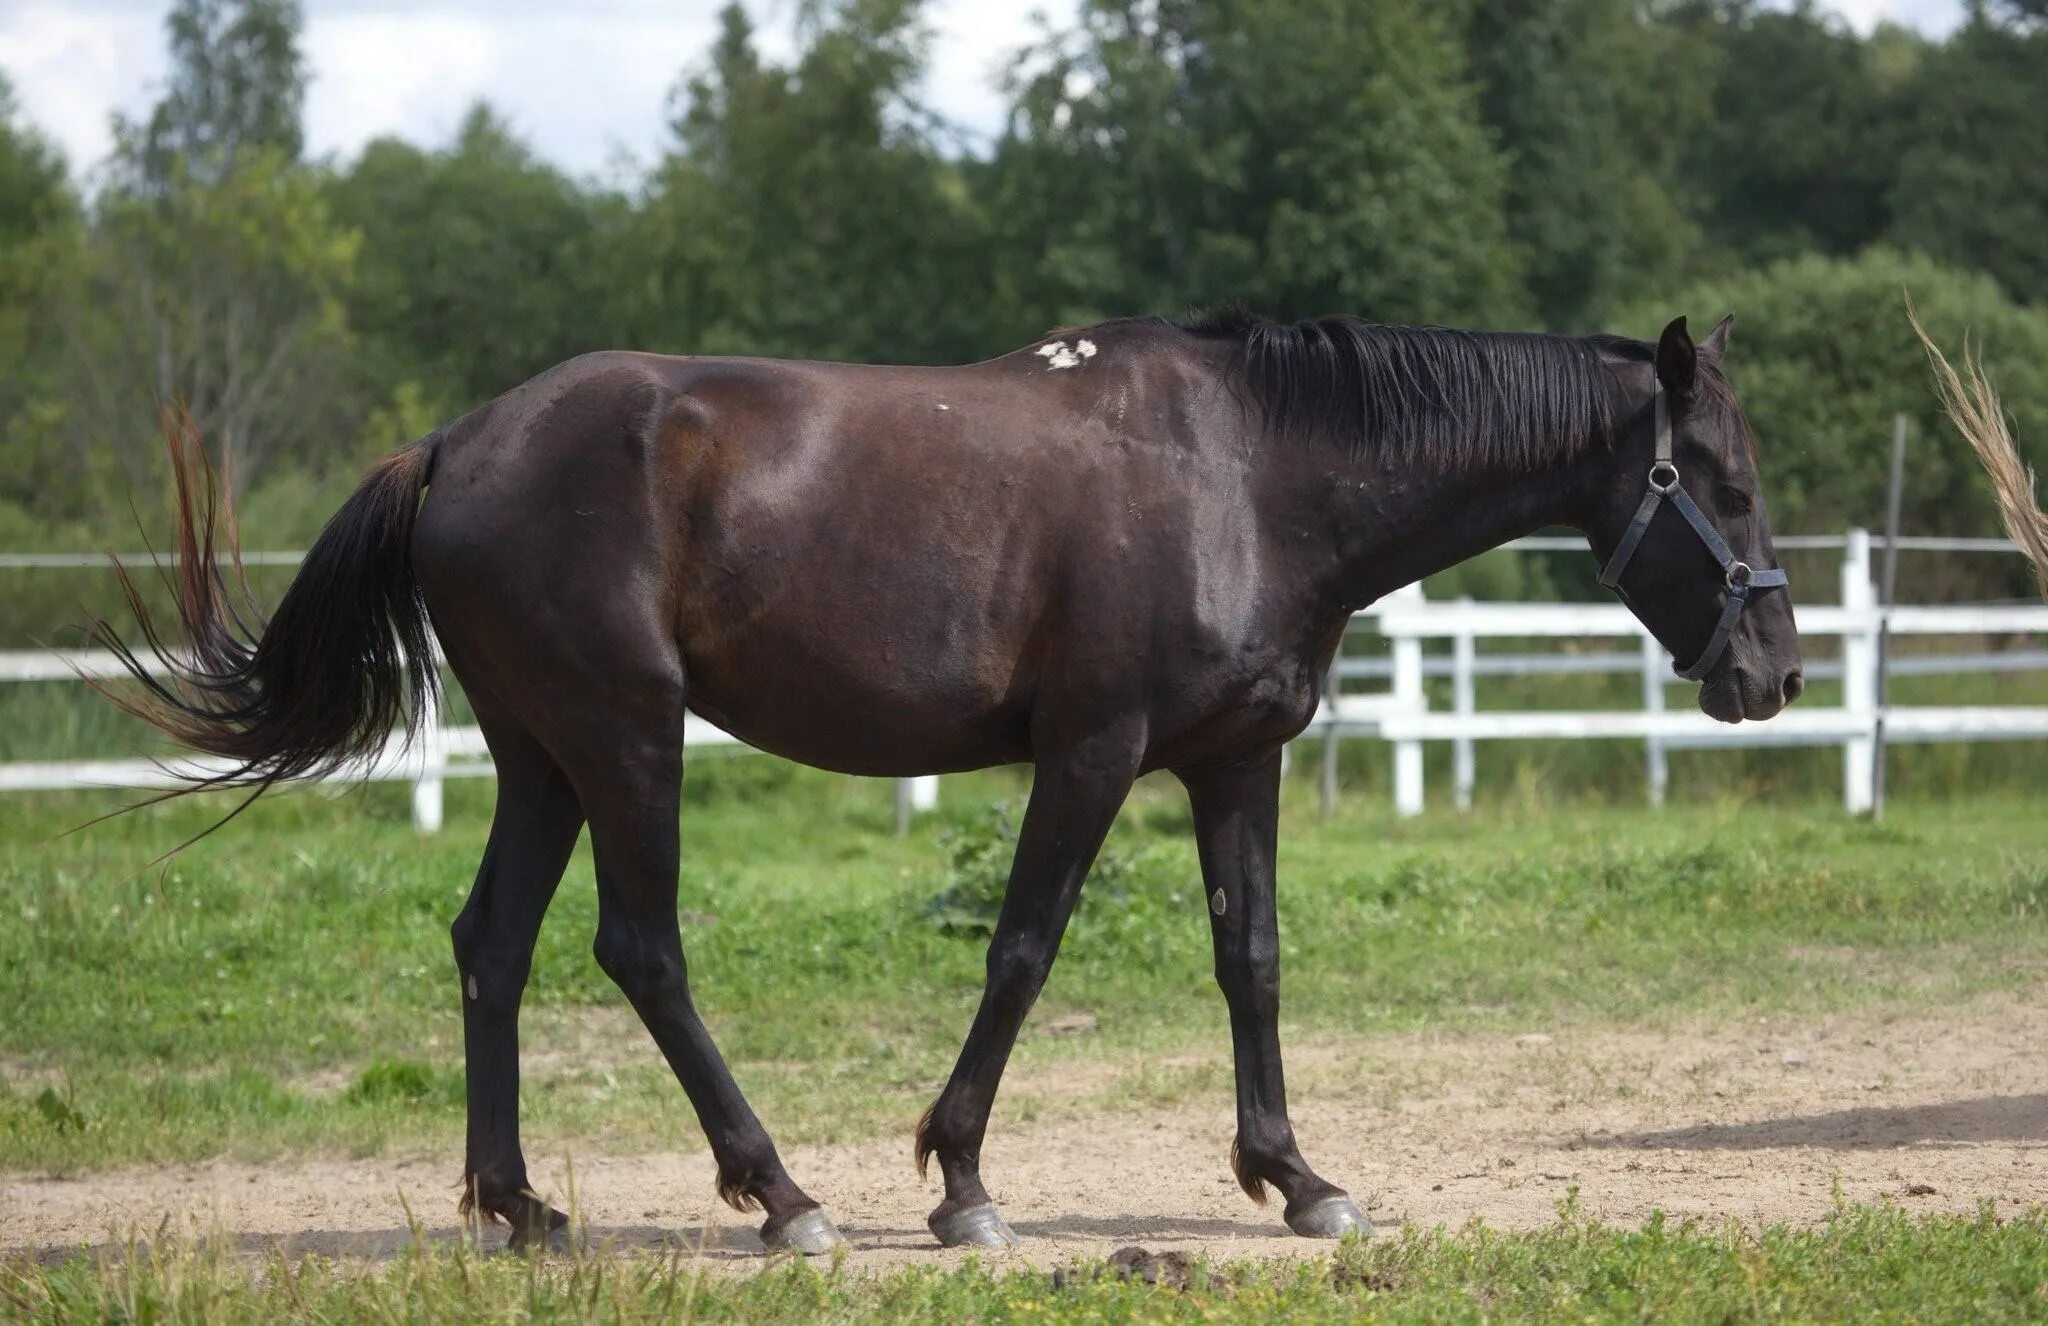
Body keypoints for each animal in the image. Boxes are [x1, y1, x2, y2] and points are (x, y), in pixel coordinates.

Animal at [99, 309, 1794, 1254]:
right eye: (1720, 477)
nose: (1773, 672)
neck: (1250, 473)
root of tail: (455, 441)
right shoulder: (1094, 751)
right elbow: (1024, 948)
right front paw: (960, 1179)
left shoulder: (1235, 760)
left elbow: (1250, 957)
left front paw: (1295, 1174)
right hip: (628, 737)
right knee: (639, 949)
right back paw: (783, 1197)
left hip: (540, 759)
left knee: (492, 950)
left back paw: (519, 1208)